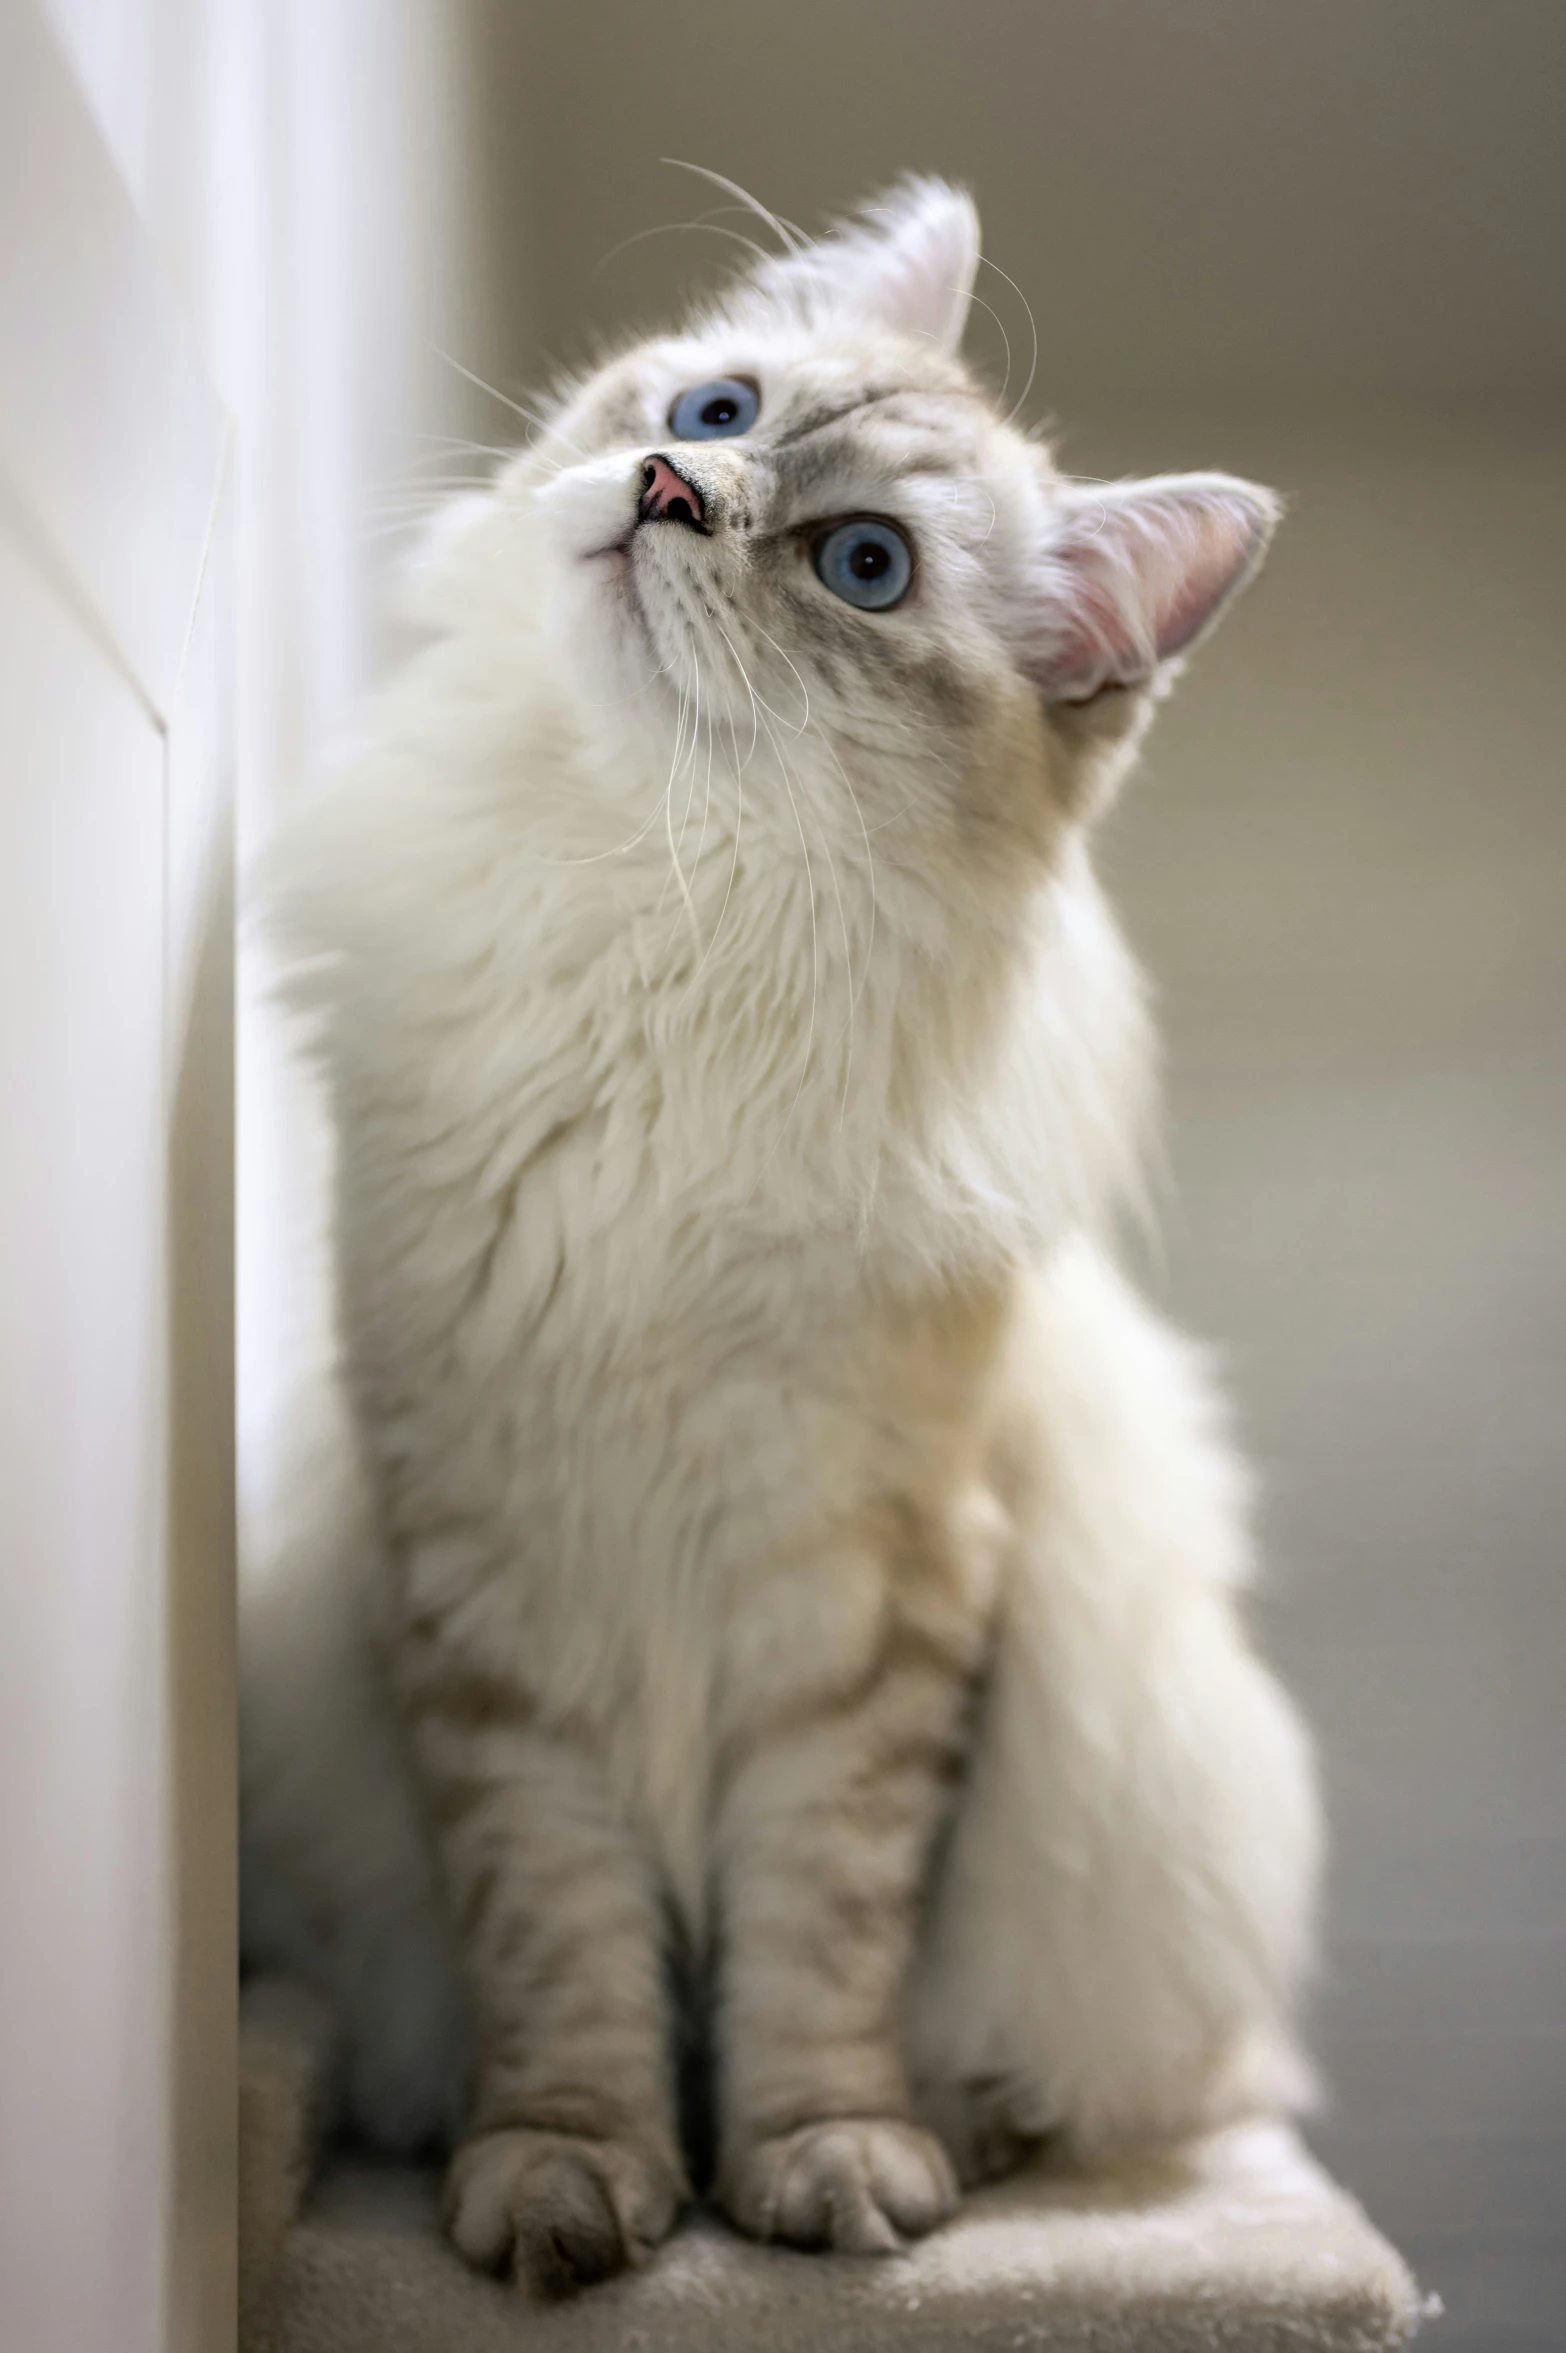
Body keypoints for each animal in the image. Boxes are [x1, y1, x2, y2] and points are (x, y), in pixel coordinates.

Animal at [244, 183, 1316, 2296]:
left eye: (862, 566)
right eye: (716, 407)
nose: (671, 485)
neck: (649, 946)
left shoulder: (872, 1613)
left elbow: (819, 1953)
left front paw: (817, 2171)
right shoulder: (491, 1597)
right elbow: (563, 1959)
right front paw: (571, 2182)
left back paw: (972, 2137)